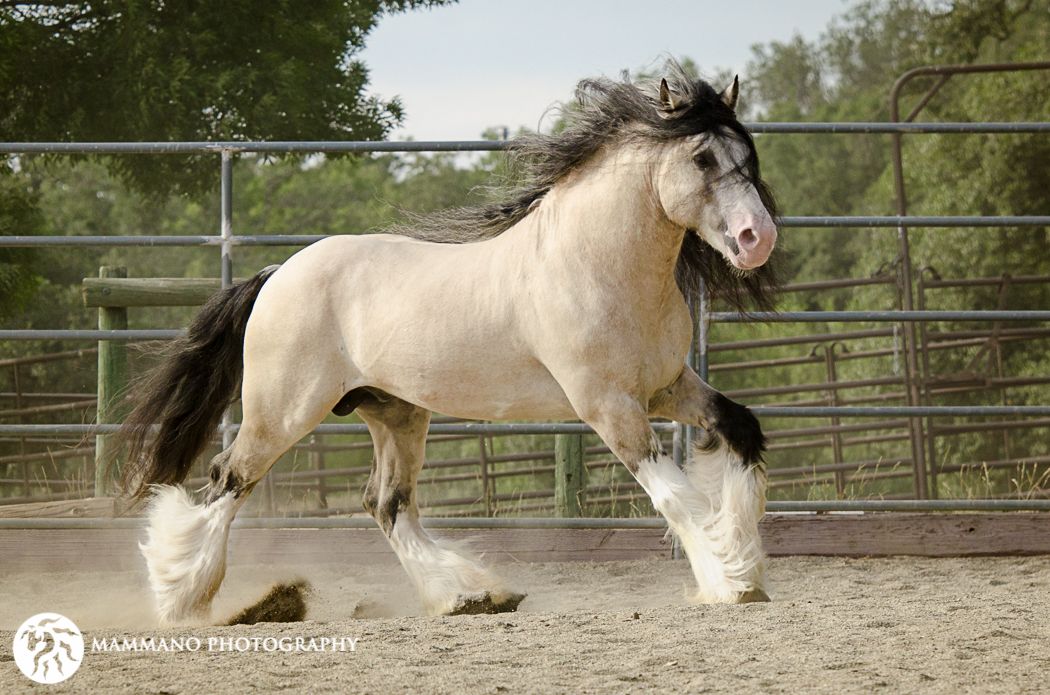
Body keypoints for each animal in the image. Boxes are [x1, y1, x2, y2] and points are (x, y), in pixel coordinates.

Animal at [120, 59, 781, 625]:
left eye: (747, 154)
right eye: (701, 157)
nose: (758, 238)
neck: (595, 265)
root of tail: (278, 273)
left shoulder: (668, 387)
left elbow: (741, 429)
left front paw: (746, 568)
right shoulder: (609, 407)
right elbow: (673, 496)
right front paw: (729, 582)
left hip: (395, 413)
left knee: (386, 504)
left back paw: (469, 595)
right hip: (282, 412)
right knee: (228, 479)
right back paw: (182, 597)